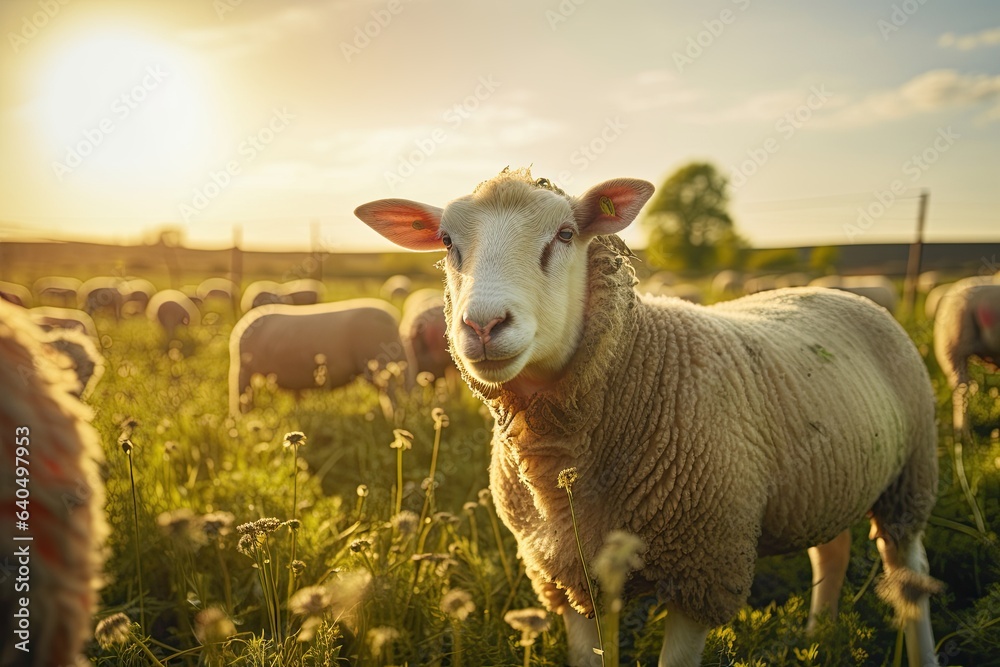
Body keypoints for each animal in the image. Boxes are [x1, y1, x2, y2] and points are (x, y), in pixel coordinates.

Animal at [356, 168, 941, 667]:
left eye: (565, 234)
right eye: (447, 242)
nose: (483, 325)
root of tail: (833, 290)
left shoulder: (705, 567)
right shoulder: (567, 575)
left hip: (910, 478)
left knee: (910, 575)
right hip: (825, 483)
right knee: (832, 552)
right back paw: (818, 634)